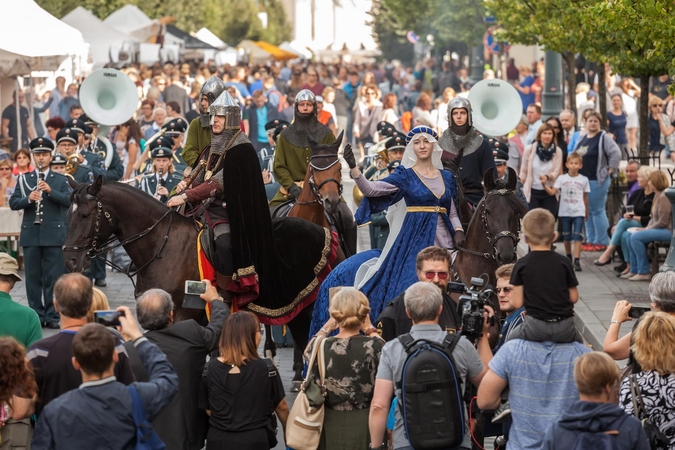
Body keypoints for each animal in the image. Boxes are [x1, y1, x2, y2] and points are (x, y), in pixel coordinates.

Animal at [62, 178, 338, 388]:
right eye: (68, 215)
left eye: (85, 215)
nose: (71, 260)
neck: (161, 244)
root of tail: (323, 231)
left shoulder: (184, 315)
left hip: (306, 308)